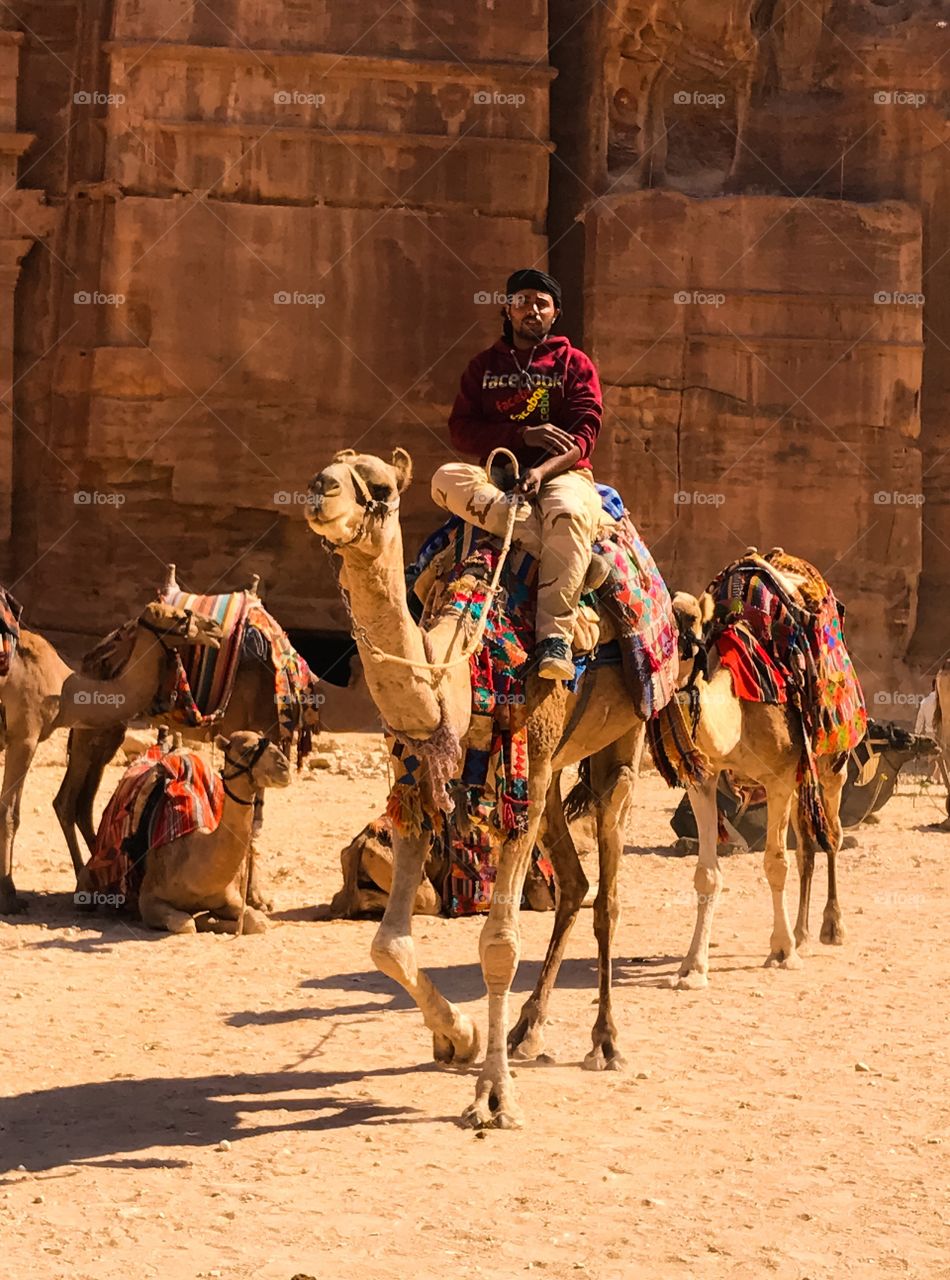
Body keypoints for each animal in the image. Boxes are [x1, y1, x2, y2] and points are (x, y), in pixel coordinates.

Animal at [0, 601, 222, 915]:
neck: (64, 691)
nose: (215, 627)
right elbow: (10, 813)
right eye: (178, 616)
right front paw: (9, 896)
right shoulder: (25, 736)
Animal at [112, 731, 291, 935]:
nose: (284, 766)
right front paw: (207, 920)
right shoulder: (149, 898)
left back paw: (261, 901)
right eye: (246, 750)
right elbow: (188, 924)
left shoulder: (231, 897)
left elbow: (258, 922)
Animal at [305, 447, 658, 1129]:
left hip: (620, 740)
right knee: (574, 883)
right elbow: (388, 944)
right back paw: (526, 1031)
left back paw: (605, 1043)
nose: (320, 490)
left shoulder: (528, 760)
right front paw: (460, 1037)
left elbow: (498, 944)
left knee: (607, 891)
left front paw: (493, 1097)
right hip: (550, 772)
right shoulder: (418, 779)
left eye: (379, 487)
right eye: (327, 471)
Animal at [669, 586, 848, 991]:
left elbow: (775, 864)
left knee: (831, 836)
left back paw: (832, 927)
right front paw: (692, 968)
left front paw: (782, 952)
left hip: (831, 765)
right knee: (807, 847)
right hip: (801, 782)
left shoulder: (778, 777)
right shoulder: (702, 778)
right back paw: (802, 932)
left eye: (692, 623)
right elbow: (707, 874)